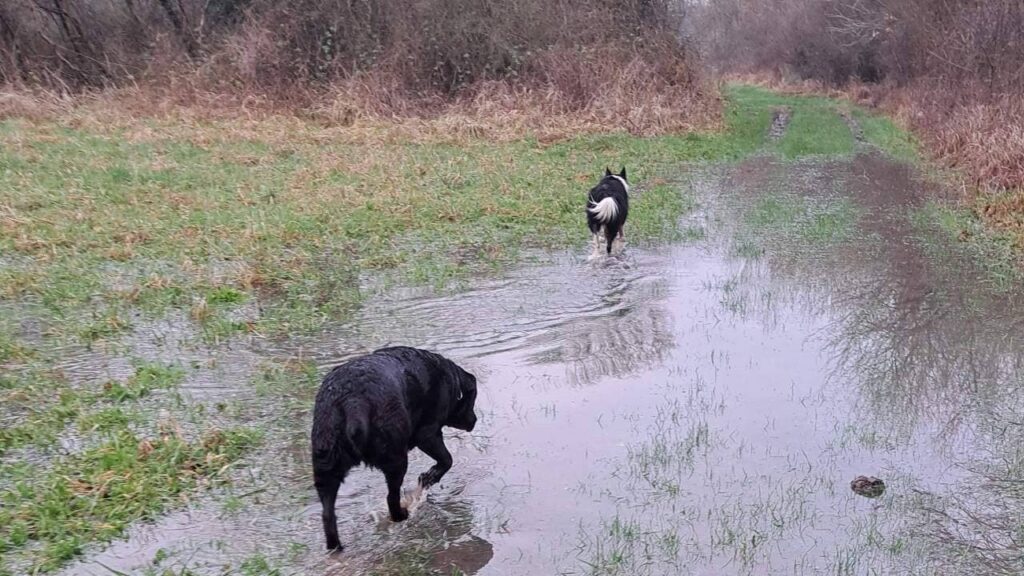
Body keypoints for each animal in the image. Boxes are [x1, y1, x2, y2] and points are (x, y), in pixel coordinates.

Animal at [309, 342, 477, 549]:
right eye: (473, 401)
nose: (474, 421)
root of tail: (351, 399)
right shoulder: (428, 434)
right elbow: (447, 460)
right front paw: (428, 478)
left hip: (325, 464)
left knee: (327, 514)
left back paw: (336, 547)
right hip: (396, 458)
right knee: (391, 498)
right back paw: (404, 514)